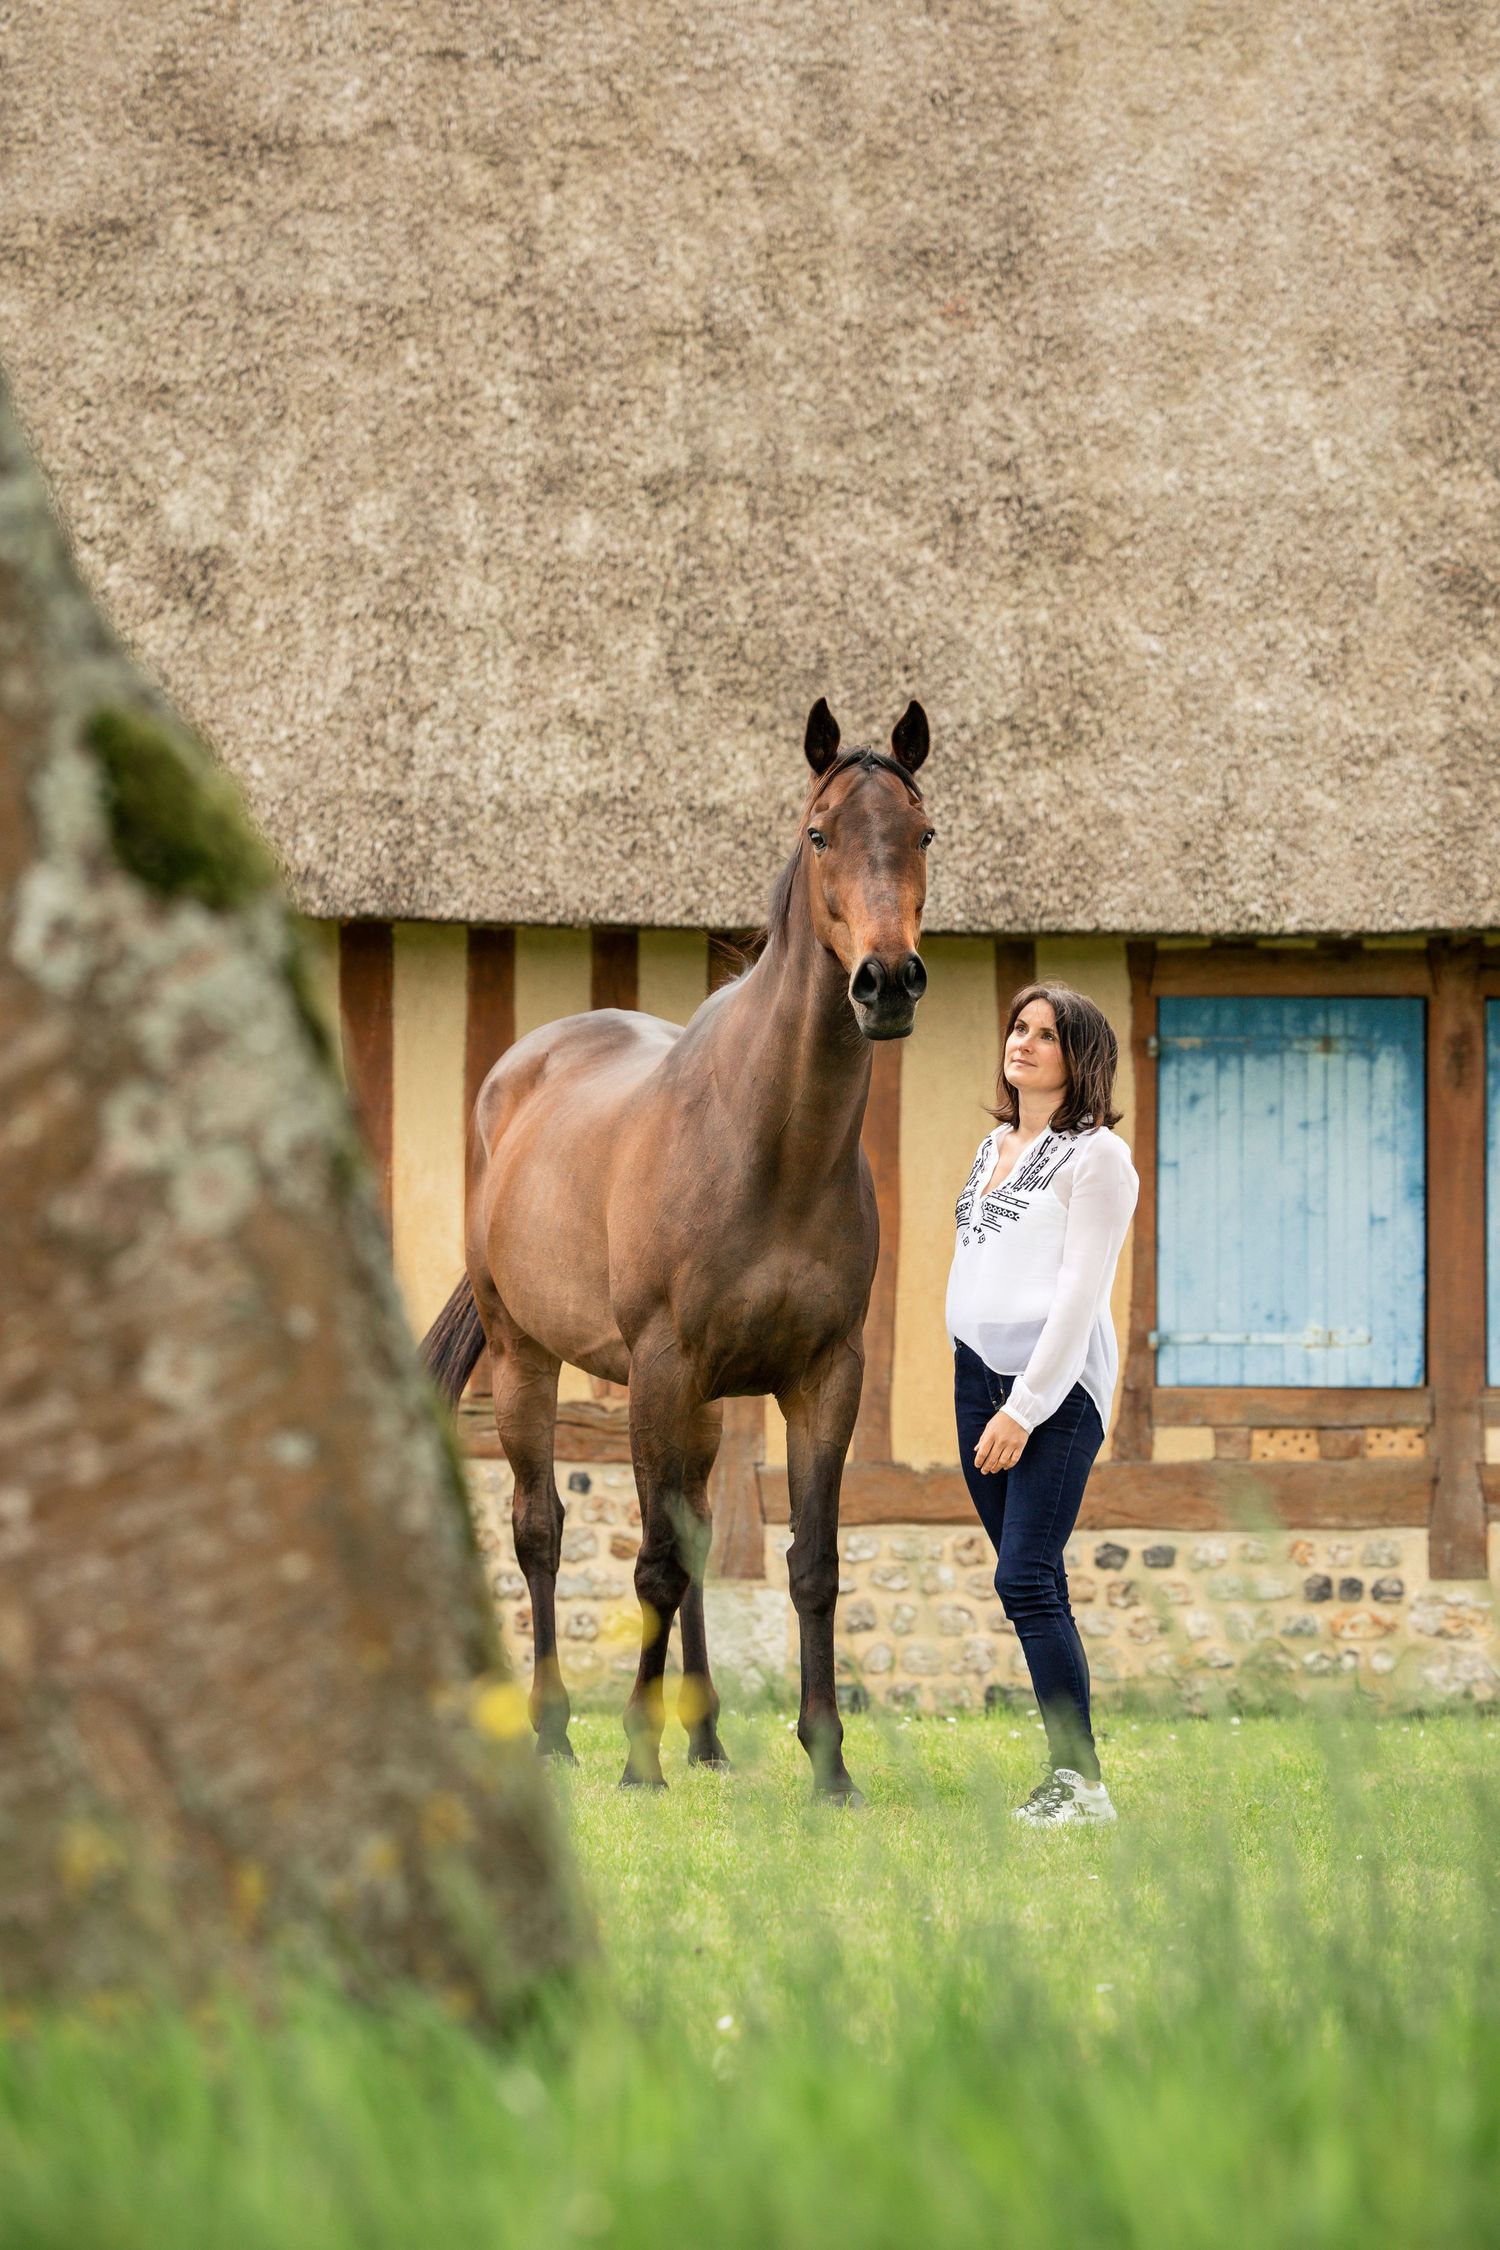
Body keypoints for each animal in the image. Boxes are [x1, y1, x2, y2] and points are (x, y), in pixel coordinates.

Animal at [423, 699, 933, 1799]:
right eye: (819, 833)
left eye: (924, 833)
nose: (885, 982)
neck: (770, 1147)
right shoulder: (661, 1365)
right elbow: (648, 1563)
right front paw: (637, 1761)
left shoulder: (825, 1376)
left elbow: (810, 1564)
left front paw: (829, 1765)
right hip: (530, 1363)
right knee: (541, 1531)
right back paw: (560, 1731)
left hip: (696, 1406)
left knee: (694, 1530)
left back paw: (706, 1740)